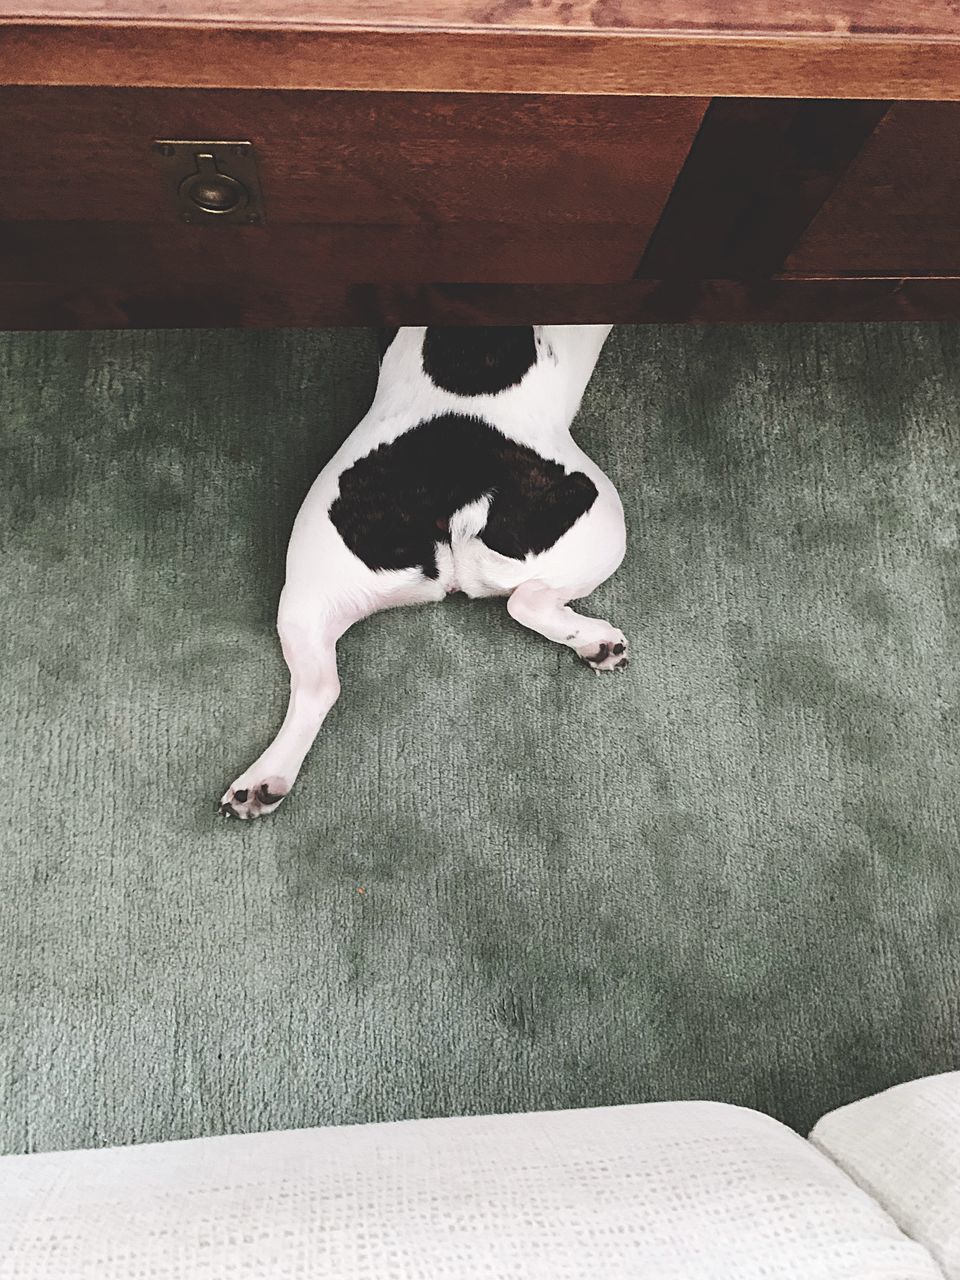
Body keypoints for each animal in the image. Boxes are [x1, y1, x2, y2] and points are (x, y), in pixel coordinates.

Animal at [221, 322, 627, 819]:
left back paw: (264, 780)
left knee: (318, 686)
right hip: (602, 522)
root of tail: (456, 491)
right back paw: (596, 641)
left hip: (310, 583)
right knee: (526, 600)